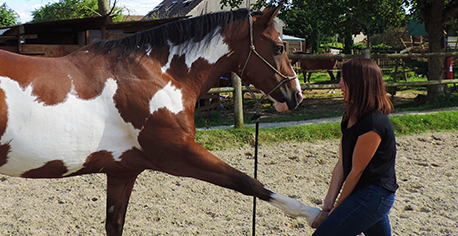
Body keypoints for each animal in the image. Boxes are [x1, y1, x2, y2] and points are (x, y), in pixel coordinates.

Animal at [0, 6, 320, 235]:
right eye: (279, 47)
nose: (295, 94)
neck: (157, 74)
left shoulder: (122, 171)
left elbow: (114, 224)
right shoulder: (178, 153)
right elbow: (248, 182)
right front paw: (312, 214)